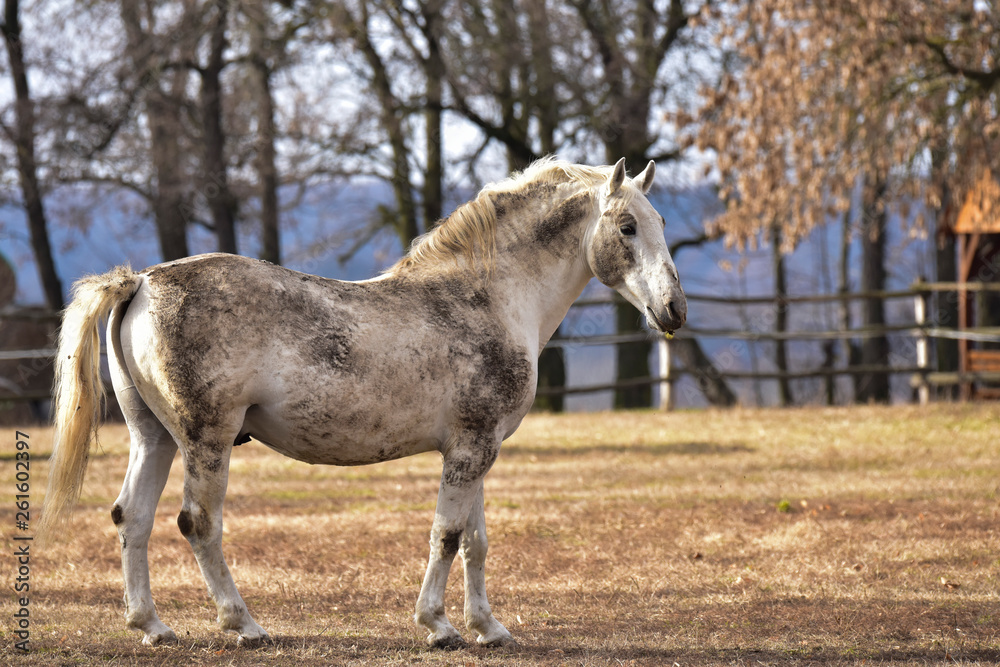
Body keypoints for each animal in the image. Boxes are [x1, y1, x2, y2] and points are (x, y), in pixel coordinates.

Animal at [39, 157, 686, 649]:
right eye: (627, 227)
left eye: (658, 221)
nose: (674, 310)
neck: (487, 298)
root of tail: (141, 281)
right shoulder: (469, 450)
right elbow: (446, 535)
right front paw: (439, 626)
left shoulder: (477, 449)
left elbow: (473, 540)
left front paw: (490, 628)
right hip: (206, 441)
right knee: (198, 523)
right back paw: (244, 625)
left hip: (153, 437)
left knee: (132, 518)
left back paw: (152, 626)